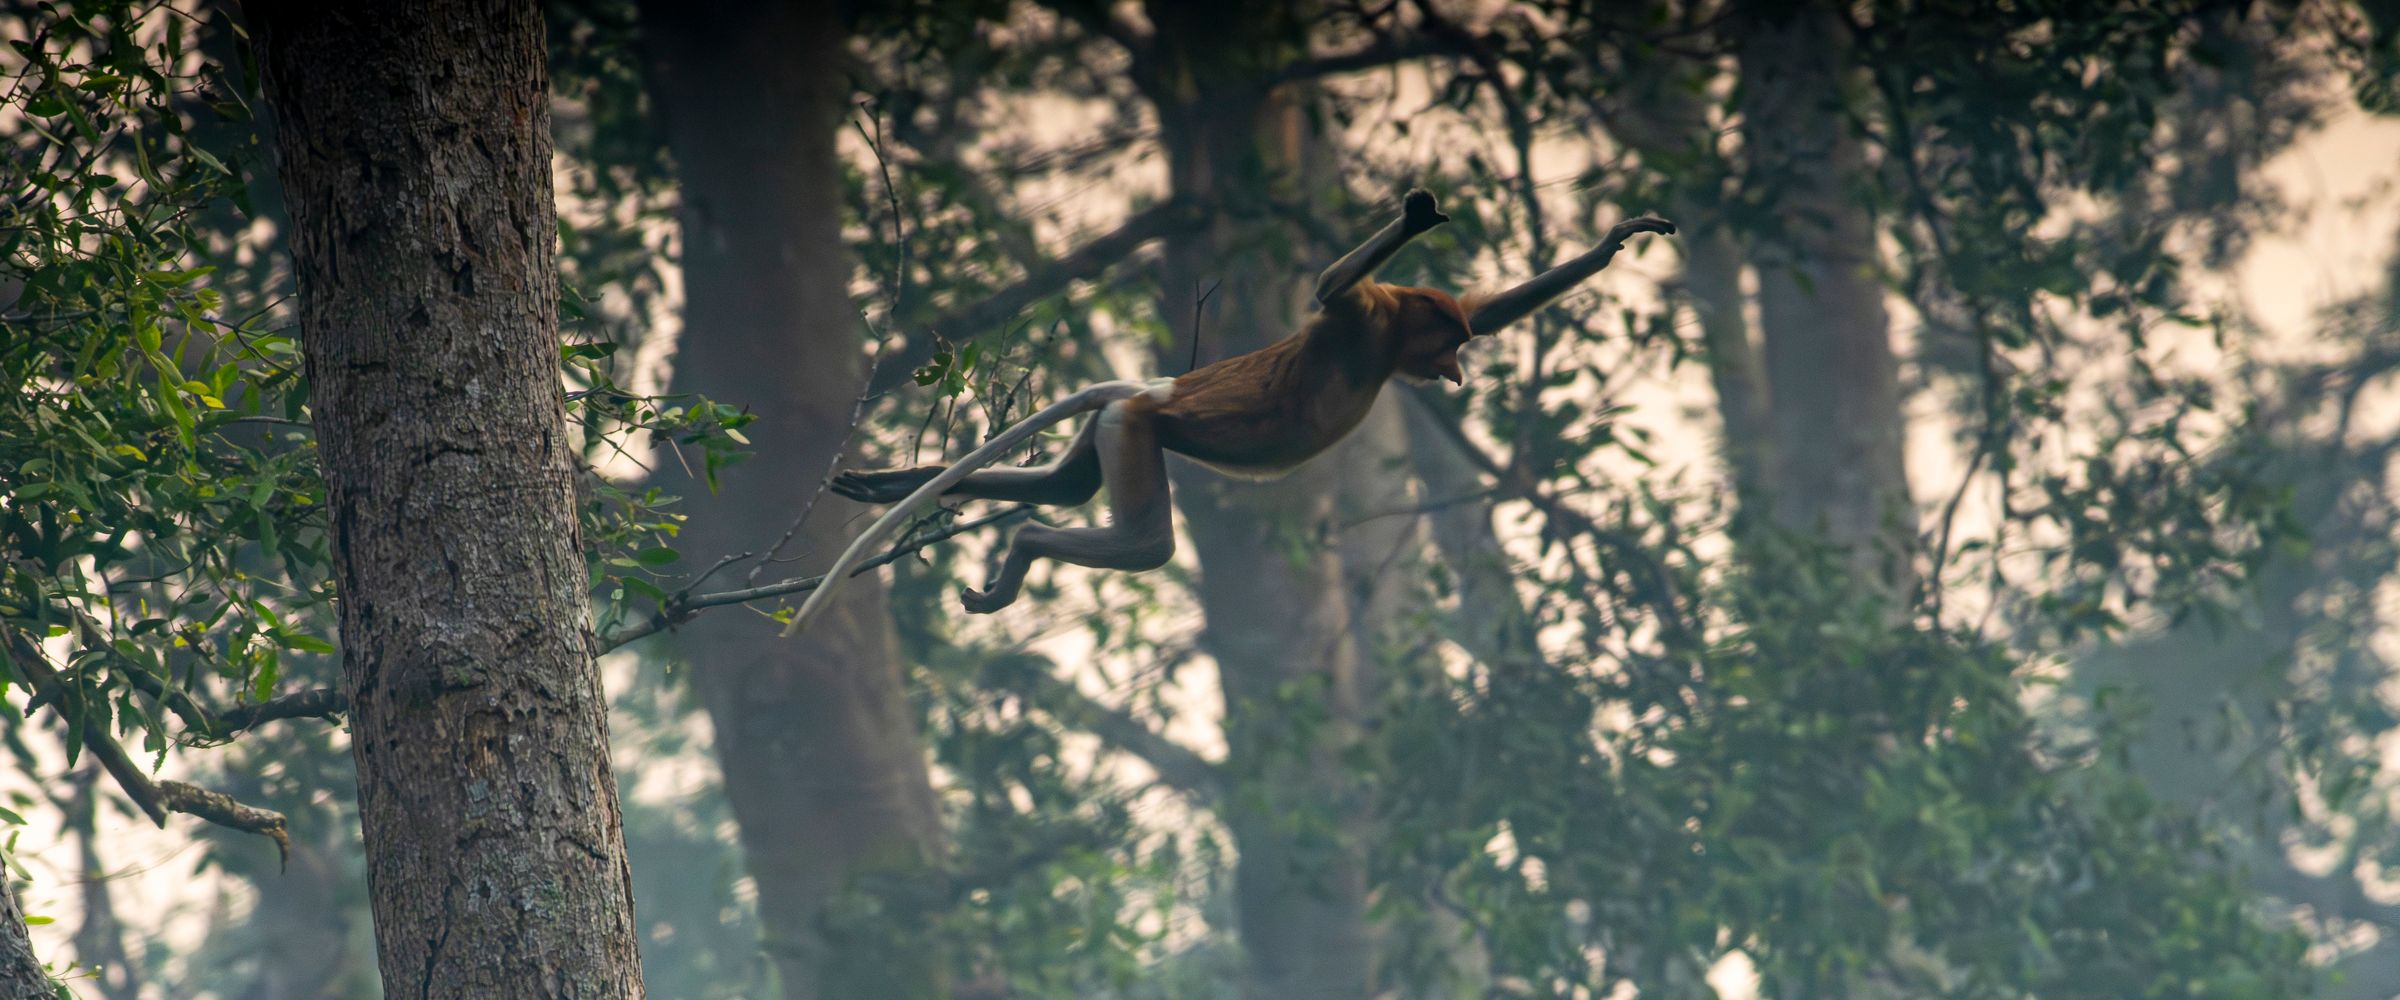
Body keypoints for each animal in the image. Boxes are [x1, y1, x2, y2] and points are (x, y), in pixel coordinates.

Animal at [783, 190, 1672, 635]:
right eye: (1444, 349)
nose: (1453, 375)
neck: (1387, 345)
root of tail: (1145, 390)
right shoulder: (1369, 315)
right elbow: (1332, 288)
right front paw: (1415, 218)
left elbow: (1493, 309)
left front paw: (1614, 241)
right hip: (1136, 431)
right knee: (1144, 541)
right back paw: (1023, 545)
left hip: (1112, 426)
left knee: (1072, 487)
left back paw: (905, 490)